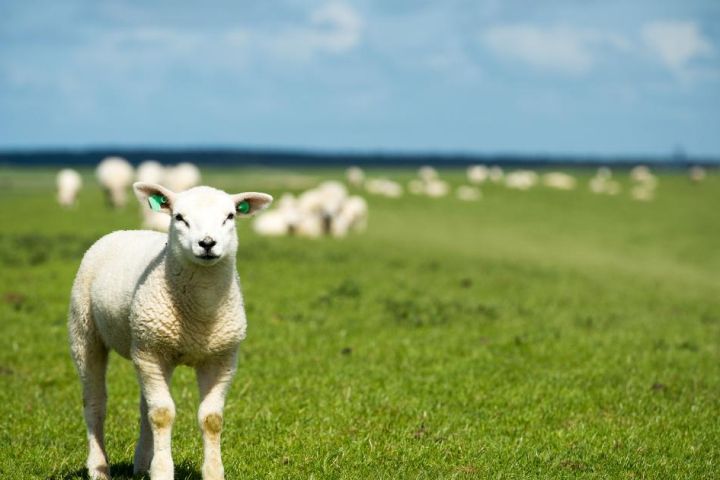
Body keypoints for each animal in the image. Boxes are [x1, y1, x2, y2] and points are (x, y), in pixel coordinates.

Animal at [68, 182, 272, 478]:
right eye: (179, 217)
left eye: (230, 216)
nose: (207, 243)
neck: (200, 315)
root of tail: (124, 231)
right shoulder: (152, 352)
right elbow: (163, 414)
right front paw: (163, 471)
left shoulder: (221, 358)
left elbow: (211, 418)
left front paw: (213, 472)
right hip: (86, 332)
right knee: (95, 403)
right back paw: (98, 467)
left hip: (147, 348)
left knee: (145, 406)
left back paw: (142, 464)